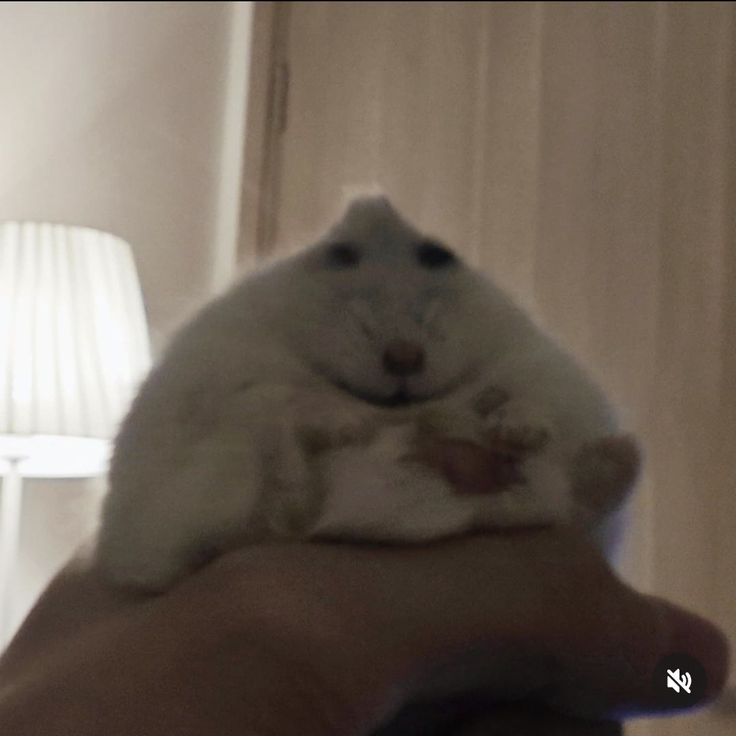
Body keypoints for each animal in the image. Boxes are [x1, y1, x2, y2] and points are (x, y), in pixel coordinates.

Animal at [95, 195, 640, 591]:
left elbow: (534, 400)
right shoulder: (220, 381)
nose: (404, 358)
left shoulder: (547, 370)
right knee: (280, 501)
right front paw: (349, 424)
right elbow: (280, 399)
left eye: (438, 254)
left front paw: (514, 429)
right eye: (341, 254)